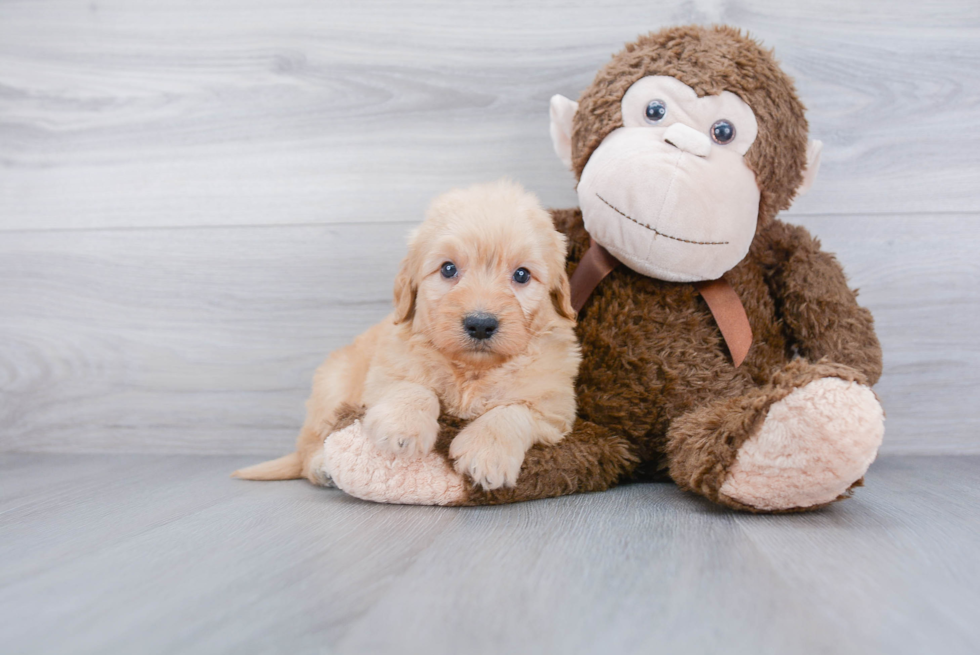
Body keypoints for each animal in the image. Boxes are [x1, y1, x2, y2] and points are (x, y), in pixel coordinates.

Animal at [233, 182, 580, 490]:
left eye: (521, 275)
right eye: (448, 269)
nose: (481, 324)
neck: (471, 371)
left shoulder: (554, 406)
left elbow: (512, 411)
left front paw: (486, 453)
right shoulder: (385, 372)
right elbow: (413, 387)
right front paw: (403, 427)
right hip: (332, 387)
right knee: (309, 445)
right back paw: (321, 466)